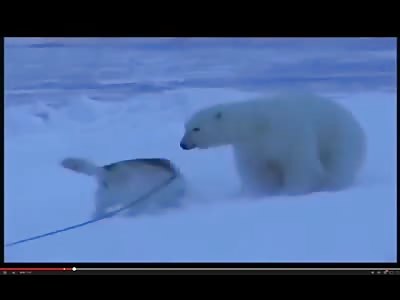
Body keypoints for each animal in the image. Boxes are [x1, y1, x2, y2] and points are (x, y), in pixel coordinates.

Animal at [180, 94, 368, 197]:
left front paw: (291, 191)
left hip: (339, 136)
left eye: (196, 128)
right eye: (185, 127)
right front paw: (264, 193)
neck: (259, 124)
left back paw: (334, 185)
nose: (182, 144)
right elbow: (259, 170)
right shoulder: (252, 147)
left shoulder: (289, 135)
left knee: (339, 163)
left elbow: (299, 165)